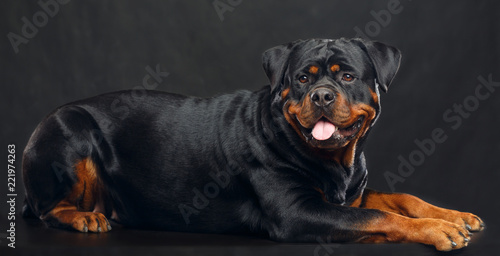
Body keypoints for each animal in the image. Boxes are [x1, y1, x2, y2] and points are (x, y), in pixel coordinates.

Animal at [23, 37, 484, 250]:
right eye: (303, 78)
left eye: (348, 76)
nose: (322, 95)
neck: (335, 160)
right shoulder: (299, 214)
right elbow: (378, 218)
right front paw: (437, 230)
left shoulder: (350, 195)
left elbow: (400, 198)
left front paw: (454, 215)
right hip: (70, 128)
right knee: (47, 209)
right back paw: (84, 217)